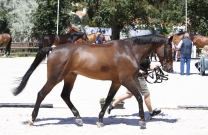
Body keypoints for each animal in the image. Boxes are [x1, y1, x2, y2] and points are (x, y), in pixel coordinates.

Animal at [12, 34, 173, 127]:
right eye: (171, 49)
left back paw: (78, 118)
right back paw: (32, 119)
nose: (169, 68)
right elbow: (139, 97)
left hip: (70, 77)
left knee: (65, 95)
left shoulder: (116, 82)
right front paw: (142, 121)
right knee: (41, 94)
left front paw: (100, 120)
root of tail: (53, 49)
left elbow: (108, 99)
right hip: (55, 78)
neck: (129, 51)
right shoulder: (126, 80)